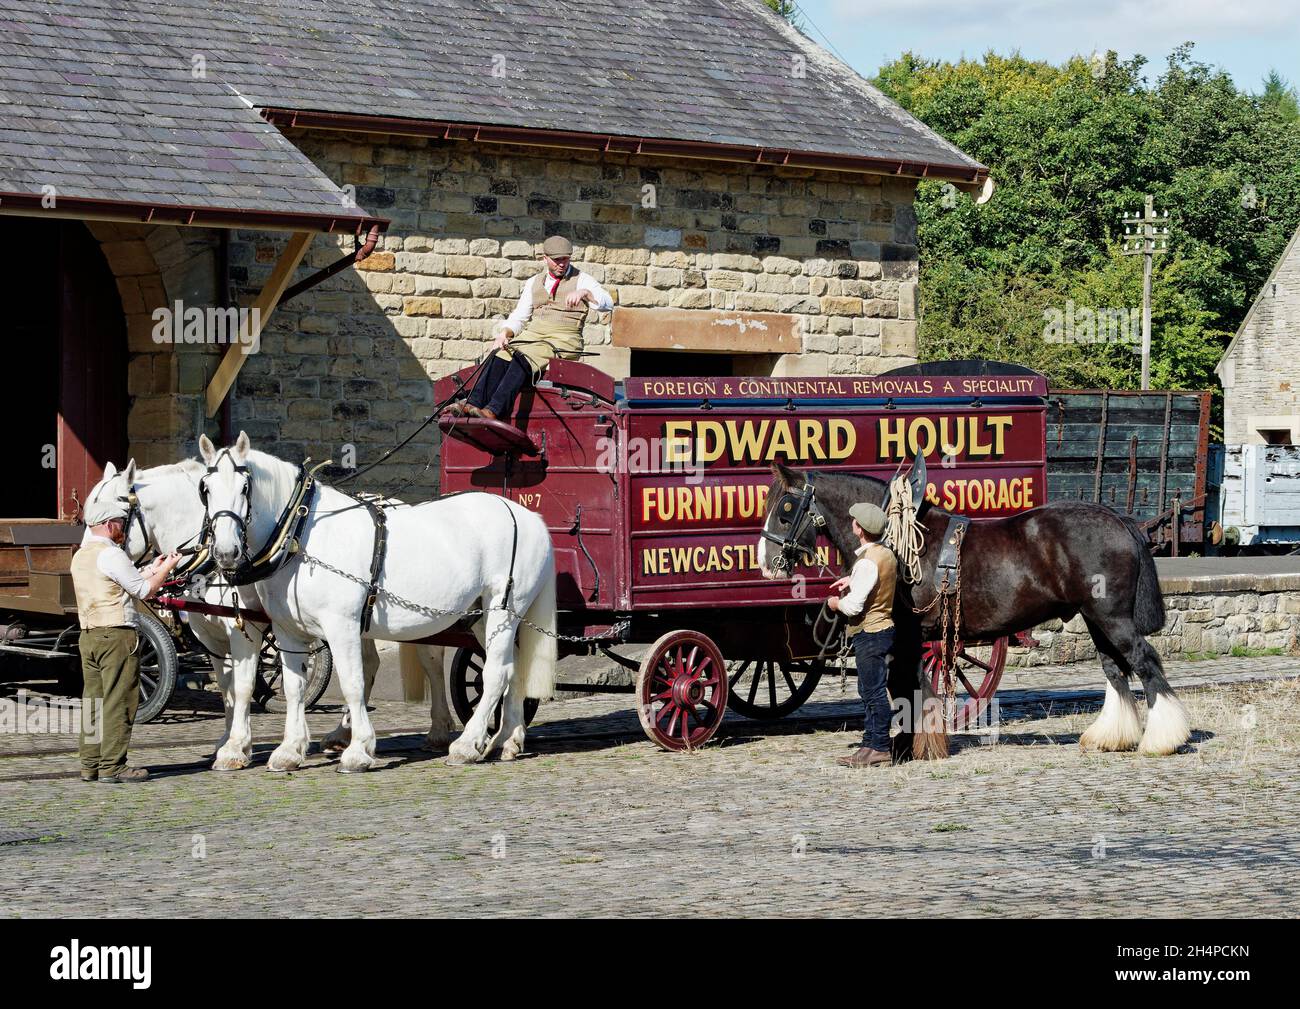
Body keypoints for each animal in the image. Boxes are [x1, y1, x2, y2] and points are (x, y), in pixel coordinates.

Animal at [86, 460, 449, 769]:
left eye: (111, 517)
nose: (87, 560)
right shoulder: (211, 636)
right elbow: (227, 687)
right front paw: (230, 741)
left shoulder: (245, 628)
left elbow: (244, 684)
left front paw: (237, 748)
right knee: (369, 665)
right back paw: (342, 733)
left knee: (431, 662)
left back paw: (439, 731)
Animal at [196, 429, 553, 769]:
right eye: (206, 489)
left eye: (245, 487)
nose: (226, 553)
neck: (301, 535)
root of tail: (528, 516)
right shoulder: (288, 631)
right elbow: (295, 688)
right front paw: (289, 751)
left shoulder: (341, 627)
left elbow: (353, 683)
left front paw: (358, 750)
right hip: (482, 615)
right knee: (512, 666)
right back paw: (507, 740)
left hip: (504, 607)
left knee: (495, 673)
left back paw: (467, 744)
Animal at [759, 460, 1190, 759]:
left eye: (785, 508)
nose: (765, 561)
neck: (896, 539)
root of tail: (1118, 519)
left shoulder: (911, 637)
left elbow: (908, 687)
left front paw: (911, 747)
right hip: (1096, 619)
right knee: (1116, 670)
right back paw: (1112, 737)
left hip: (1112, 617)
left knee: (1145, 662)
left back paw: (1162, 739)